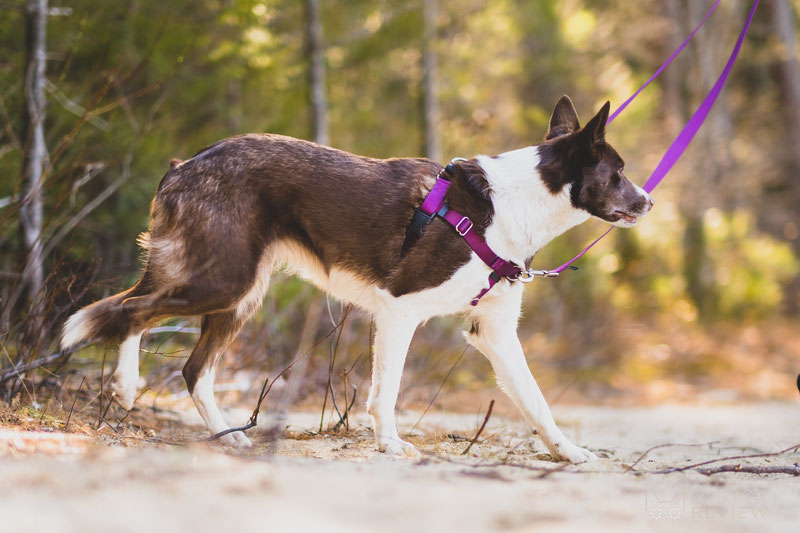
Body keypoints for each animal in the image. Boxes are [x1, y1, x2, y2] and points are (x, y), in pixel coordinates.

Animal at [61, 95, 648, 462]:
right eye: (618, 174)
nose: (649, 201)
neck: (512, 206)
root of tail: (184, 166)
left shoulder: (494, 332)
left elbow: (537, 402)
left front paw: (568, 452)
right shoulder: (399, 308)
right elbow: (386, 391)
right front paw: (389, 445)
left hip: (239, 294)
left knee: (191, 368)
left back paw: (228, 438)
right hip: (223, 281)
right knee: (131, 311)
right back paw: (127, 384)